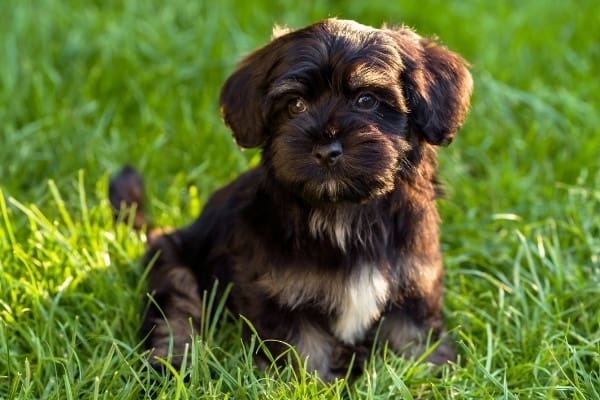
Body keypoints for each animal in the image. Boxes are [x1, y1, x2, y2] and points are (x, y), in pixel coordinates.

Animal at [110, 18, 472, 382]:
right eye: (296, 105)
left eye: (367, 100)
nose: (326, 149)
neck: (345, 212)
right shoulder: (281, 293)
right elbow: (305, 350)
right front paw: (313, 384)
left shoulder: (413, 282)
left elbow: (413, 337)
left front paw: (431, 375)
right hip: (172, 263)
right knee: (174, 316)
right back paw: (171, 364)